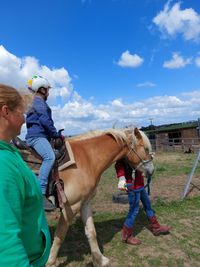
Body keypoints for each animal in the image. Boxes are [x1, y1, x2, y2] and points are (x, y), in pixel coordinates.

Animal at [47, 128, 155, 267]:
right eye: (146, 149)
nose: (152, 170)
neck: (86, 159)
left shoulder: (85, 202)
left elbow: (91, 232)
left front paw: (100, 259)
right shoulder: (70, 206)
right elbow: (59, 236)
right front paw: (50, 262)